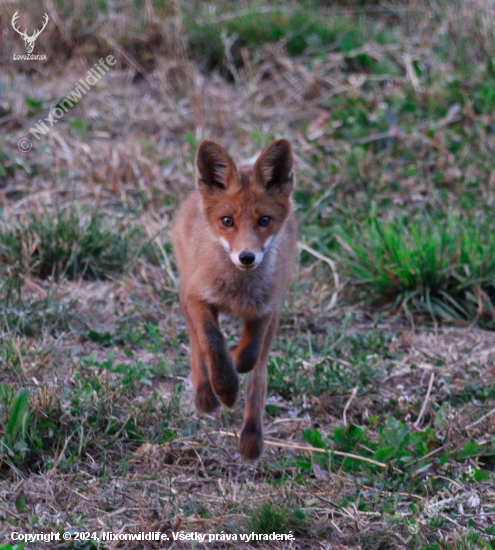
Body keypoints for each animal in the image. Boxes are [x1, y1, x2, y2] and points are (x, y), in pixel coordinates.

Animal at [172, 139, 296, 462]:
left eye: (264, 220)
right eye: (227, 221)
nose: (247, 257)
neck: (237, 292)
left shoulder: (266, 307)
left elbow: (250, 354)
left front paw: (237, 361)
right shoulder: (197, 297)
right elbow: (212, 343)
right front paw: (225, 389)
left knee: (260, 373)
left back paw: (252, 437)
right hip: (185, 292)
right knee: (196, 343)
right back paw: (205, 394)